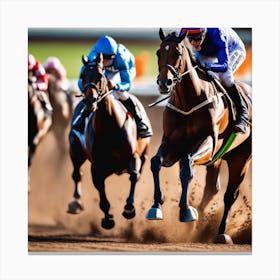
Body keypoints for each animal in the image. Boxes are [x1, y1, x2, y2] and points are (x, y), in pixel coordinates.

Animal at [67, 53, 152, 230]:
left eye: (100, 76)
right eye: (82, 76)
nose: (90, 101)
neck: (111, 126)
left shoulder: (133, 157)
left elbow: (134, 176)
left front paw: (129, 208)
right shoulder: (97, 167)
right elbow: (101, 193)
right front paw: (107, 219)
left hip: (144, 154)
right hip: (75, 151)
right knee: (77, 174)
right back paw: (76, 203)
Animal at [145, 27, 253, 244]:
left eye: (178, 53)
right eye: (159, 52)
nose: (164, 83)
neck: (189, 101)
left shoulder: (208, 143)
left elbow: (187, 167)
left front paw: (186, 210)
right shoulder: (172, 144)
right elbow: (155, 162)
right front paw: (156, 206)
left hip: (241, 158)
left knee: (230, 195)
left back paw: (220, 233)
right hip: (218, 159)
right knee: (211, 190)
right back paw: (198, 225)